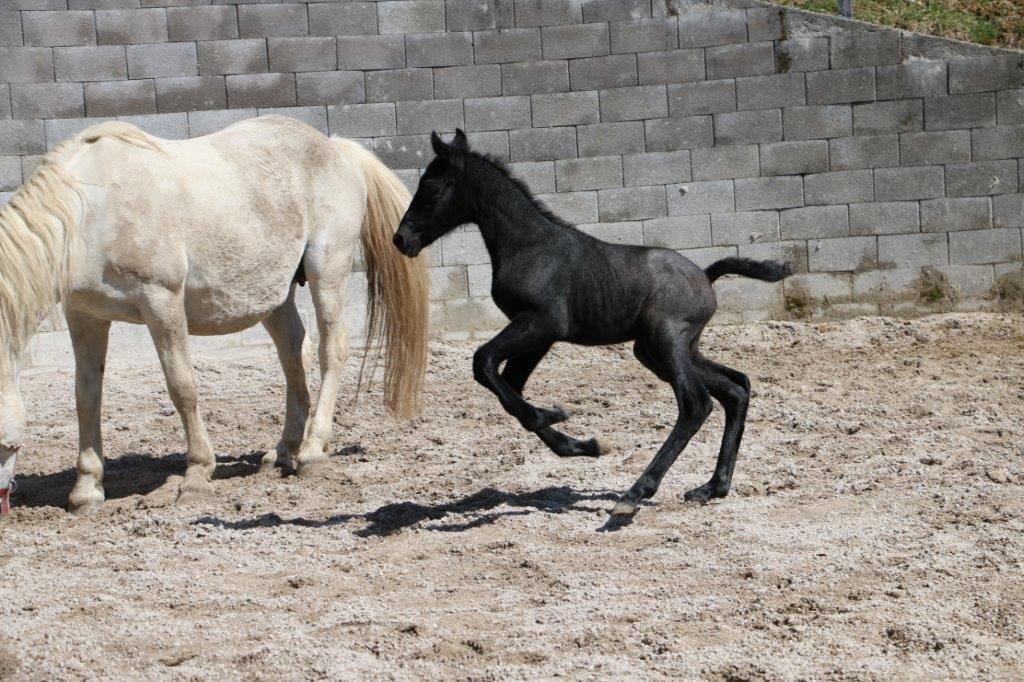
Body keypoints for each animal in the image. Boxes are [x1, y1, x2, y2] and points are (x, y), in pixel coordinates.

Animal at [0, 116, 429, 515]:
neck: (94, 209)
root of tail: (337, 149)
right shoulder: (85, 316)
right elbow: (87, 396)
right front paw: (86, 491)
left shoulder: (162, 303)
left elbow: (182, 387)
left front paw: (196, 475)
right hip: (272, 294)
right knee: (294, 354)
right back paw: (283, 451)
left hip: (328, 270)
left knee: (332, 350)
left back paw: (311, 451)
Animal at [393, 130, 791, 518]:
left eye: (432, 187)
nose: (401, 239)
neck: (529, 245)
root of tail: (707, 277)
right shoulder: (538, 335)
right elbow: (510, 390)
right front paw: (579, 443)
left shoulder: (542, 323)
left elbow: (484, 363)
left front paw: (554, 414)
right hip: (661, 350)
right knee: (736, 388)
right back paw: (711, 487)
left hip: (666, 342)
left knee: (696, 404)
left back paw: (634, 494)